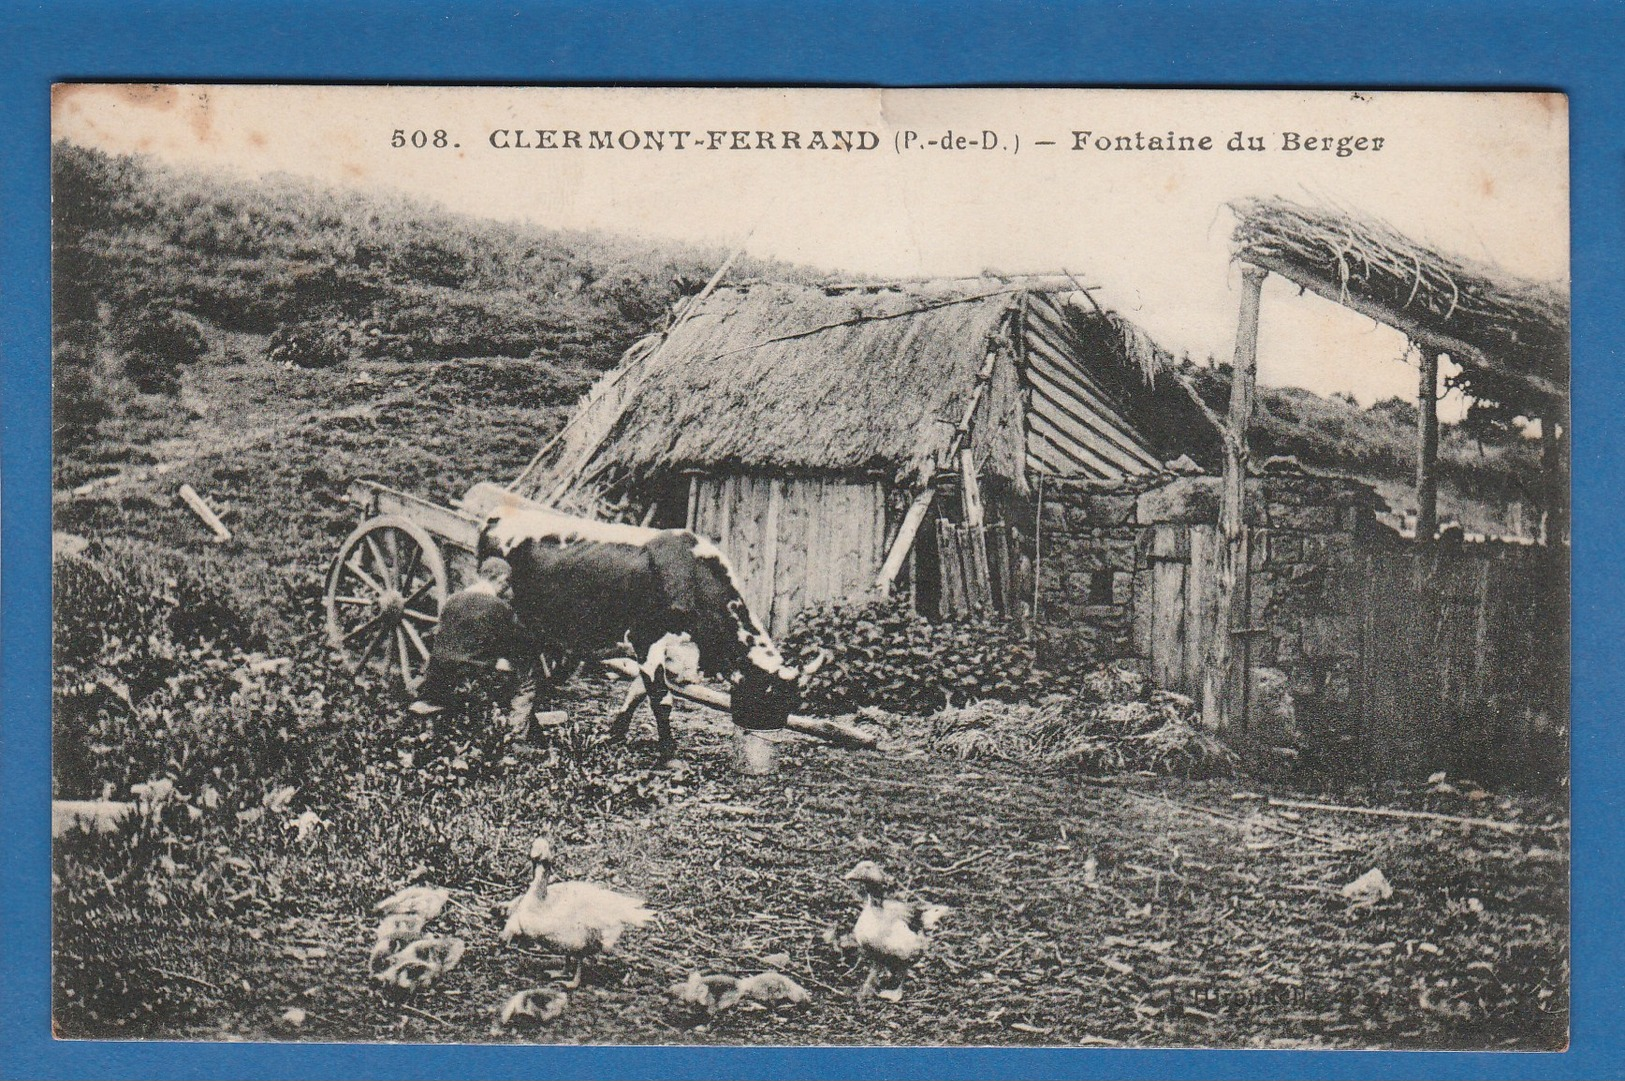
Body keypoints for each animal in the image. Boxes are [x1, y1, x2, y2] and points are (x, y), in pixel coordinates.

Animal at [412, 507, 806, 757]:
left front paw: (615, 734)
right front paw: (669, 754)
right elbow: (661, 699)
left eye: (789, 704)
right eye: (768, 698)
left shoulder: (665, 649)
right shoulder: (646, 639)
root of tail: (498, 514)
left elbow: (637, 693)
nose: (768, 738)